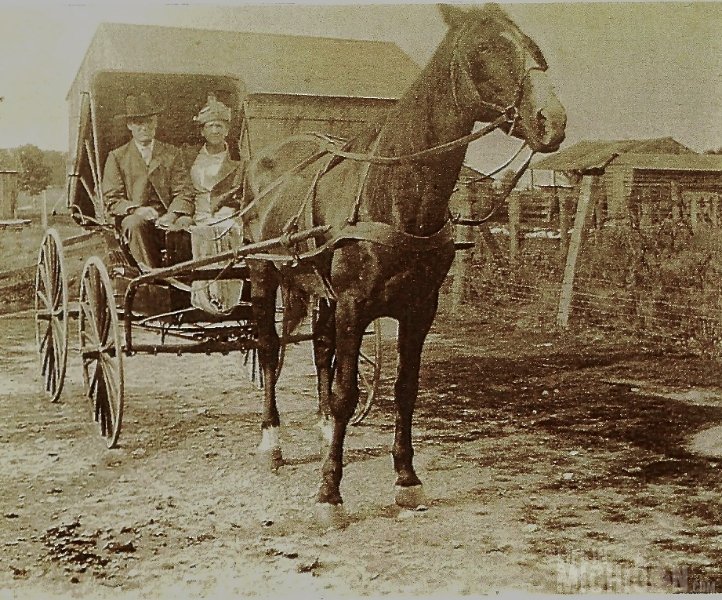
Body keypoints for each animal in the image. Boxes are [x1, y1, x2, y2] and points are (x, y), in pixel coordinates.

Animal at [239, 3, 564, 520]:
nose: (552, 120)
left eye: (533, 47)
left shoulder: (418, 310)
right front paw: (329, 492)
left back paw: (324, 429)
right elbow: (347, 393)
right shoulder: (354, 304)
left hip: (319, 292)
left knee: (319, 350)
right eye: (484, 48)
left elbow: (404, 390)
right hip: (262, 273)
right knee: (271, 350)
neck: (394, 193)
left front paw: (407, 478)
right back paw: (272, 442)